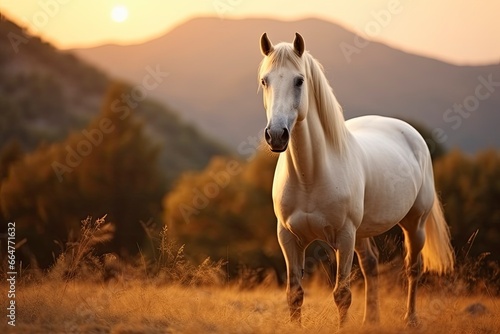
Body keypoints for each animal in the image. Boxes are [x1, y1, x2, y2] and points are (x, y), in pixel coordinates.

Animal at [260, 33, 456, 326]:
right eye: (265, 80)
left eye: (299, 80)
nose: (276, 135)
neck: (310, 176)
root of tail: (409, 132)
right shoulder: (288, 237)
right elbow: (294, 295)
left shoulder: (344, 237)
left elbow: (342, 295)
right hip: (363, 232)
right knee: (371, 265)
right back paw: (370, 321)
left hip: (414, 224)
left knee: (413, 268)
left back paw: (410, 319)